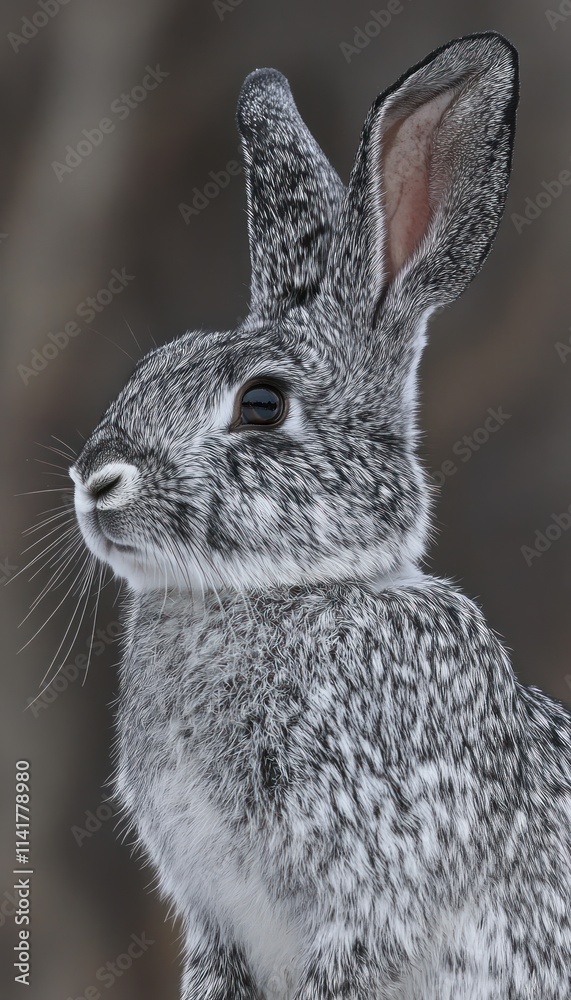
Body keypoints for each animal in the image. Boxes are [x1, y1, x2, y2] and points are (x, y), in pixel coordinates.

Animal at [68, 32, 571, 1000]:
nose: (95, 480)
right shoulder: (217, 921)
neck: (275, 592)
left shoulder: (375, 884)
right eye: (154, 364)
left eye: (262, 404)